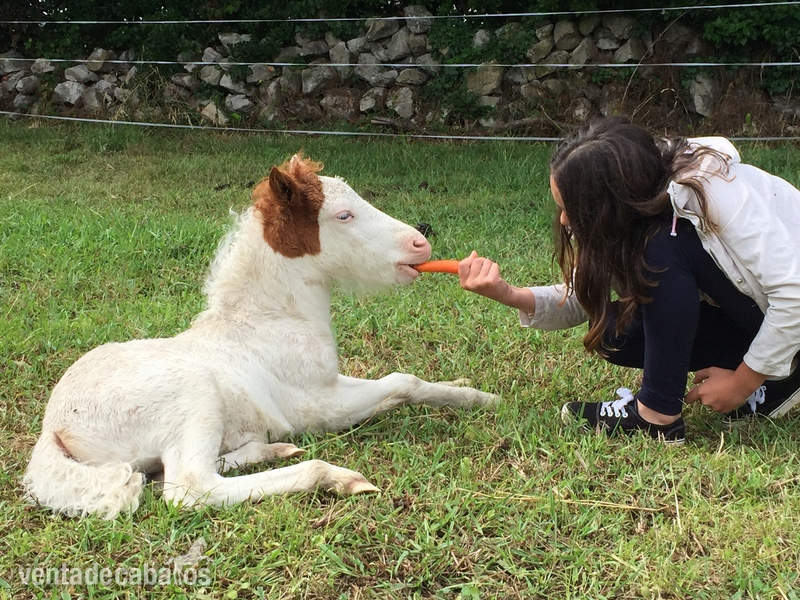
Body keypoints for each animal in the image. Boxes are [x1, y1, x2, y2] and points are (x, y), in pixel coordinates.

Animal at [23, 153, 498, 518]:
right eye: (343, 215)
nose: (421, 244)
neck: (270, 320)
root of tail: (54, 427)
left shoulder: (330, 382)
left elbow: (405, 384)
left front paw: (467, 391)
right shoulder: (316, 406)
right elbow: (401, 383)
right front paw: (483, 398)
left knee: (166, 474)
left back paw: (269, 450)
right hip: (195, 396)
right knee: (189, 487)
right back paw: (330, 475)